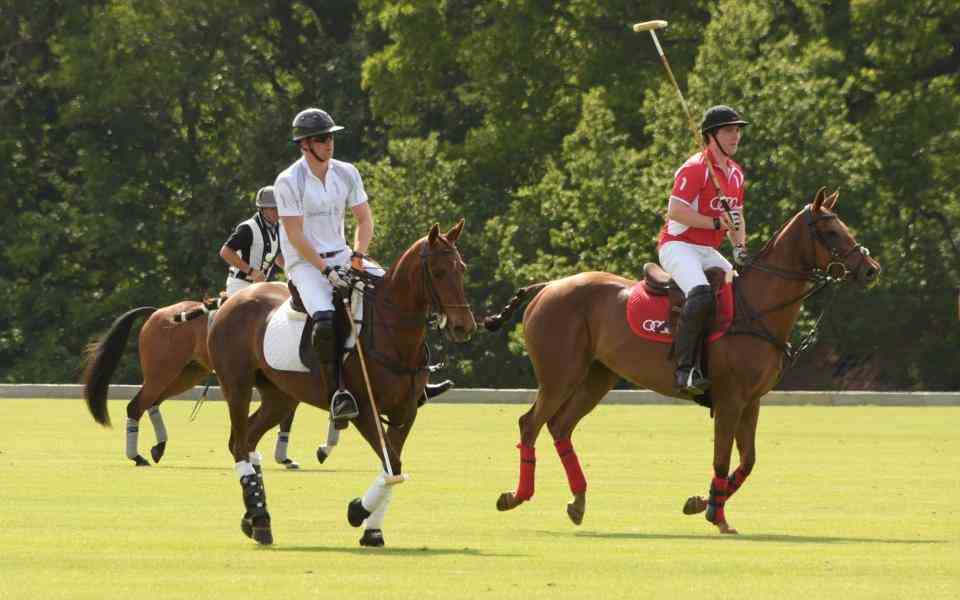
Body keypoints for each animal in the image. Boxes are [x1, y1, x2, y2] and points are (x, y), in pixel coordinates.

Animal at [212, 219, 478, 544]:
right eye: (438, 272)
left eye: (461, 268)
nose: (463, 327)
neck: (392, 332)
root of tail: (230, 302)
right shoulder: (364, 408)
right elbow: (393, 464)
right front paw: (357, 511)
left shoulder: (406, 411)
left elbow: (390, 463)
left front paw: (372, 530)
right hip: (236, 385)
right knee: (239, 443)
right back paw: (260, 519)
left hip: (280, 396)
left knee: (248, 438)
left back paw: (254, 519)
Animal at [484, 189, 880, 536]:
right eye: (831, 231)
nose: (871, 269)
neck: (758, 306)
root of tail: (548, 286)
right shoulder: (729, 399)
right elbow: (722, 458)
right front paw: (717, 516)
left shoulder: (752, 400)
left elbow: (747, 461)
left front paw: (700, 502)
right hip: (559, 374)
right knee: (530, 424)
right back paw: (516, 496)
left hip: (598, 376)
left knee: (560, 426)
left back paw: (578, 501)